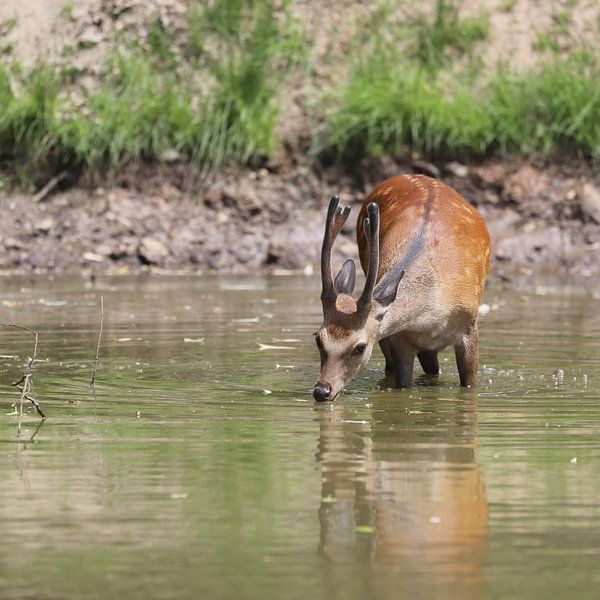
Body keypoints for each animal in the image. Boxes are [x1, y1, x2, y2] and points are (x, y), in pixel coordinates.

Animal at [312, 173, 490, 404]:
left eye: (360, 347)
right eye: (318, 338)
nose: (322, 390)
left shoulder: (469, 327)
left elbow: (469, 384)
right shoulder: (397, 338)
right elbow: (403, 383)